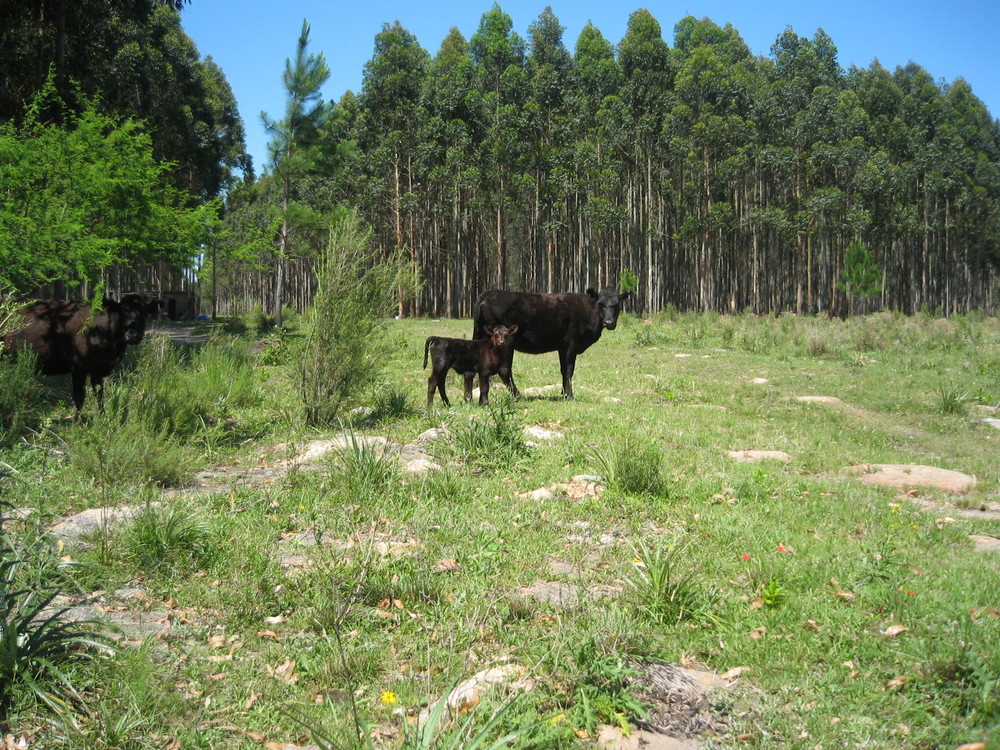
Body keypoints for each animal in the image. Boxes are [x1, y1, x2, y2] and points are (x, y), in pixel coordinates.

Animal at [1, 296, 156, 414]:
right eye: (122, 312)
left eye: (143, 313)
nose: (132, 334)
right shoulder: (78, 369)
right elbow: (80, 395)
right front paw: (79, 421)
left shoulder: (97, 370)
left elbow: (99, 394)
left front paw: (102, 417)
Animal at [472, 286, 628, 400]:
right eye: (601, 304)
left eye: (617, 304)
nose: (609, 322)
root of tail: (491, 292)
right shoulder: (571, 344)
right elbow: (569, 369)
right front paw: (569, 396)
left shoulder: (562, 347)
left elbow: (563, 369)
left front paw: (563, 393)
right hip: (505, 342)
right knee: (504, 370)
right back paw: (518, 396)